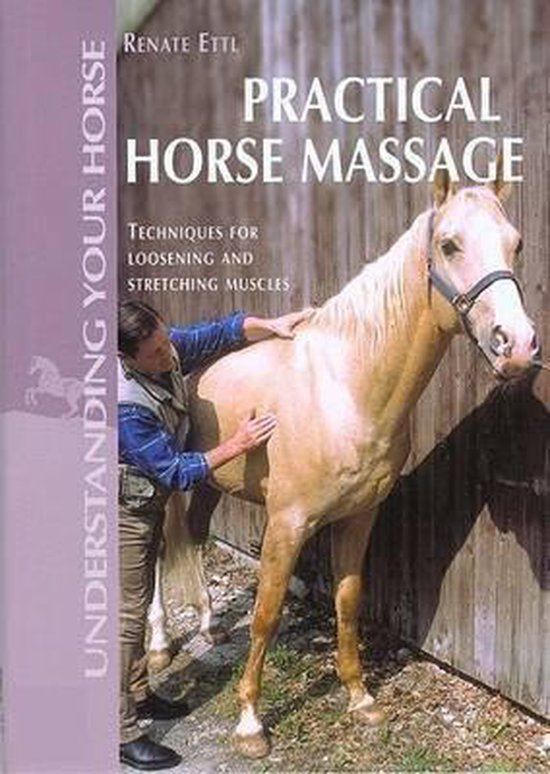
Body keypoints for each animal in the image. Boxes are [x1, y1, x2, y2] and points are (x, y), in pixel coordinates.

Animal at [149, 168, 539, 758]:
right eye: (449, 245)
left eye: (515, 244)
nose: (516, 345)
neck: (344, 391)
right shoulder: (286, 525)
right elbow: (266, 615)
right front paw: (250, 724)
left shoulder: (359, 517)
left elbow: (349, 600)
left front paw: (360, 698)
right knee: (154, 557)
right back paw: (158, 644)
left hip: (214, 482)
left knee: (192, 537)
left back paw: (210, 626)